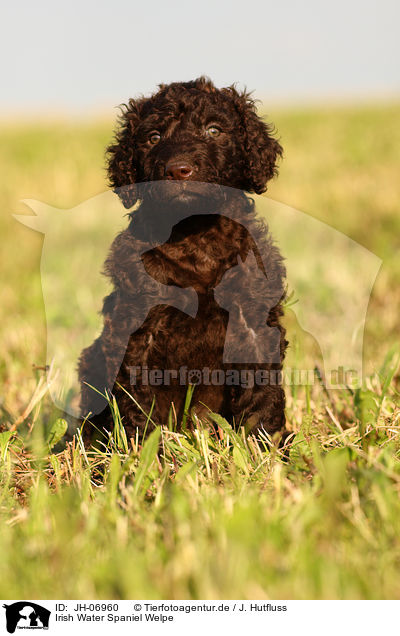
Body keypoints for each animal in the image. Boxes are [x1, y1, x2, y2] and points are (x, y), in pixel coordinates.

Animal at [79, 77, 288, 444]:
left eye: (214, 130)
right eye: (153, 137)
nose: (178, 170)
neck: (194, 235)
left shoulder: (254, 319)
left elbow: (261, 392)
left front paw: (262, 445)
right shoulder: (139, 325)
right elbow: (139, 398)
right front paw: (145, 449)